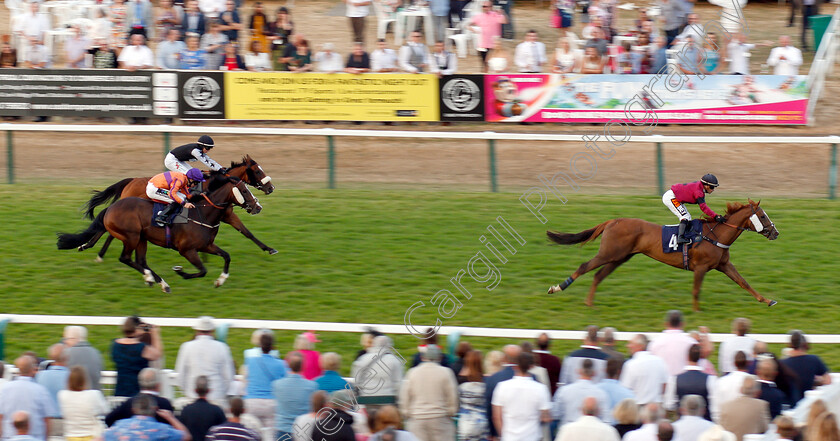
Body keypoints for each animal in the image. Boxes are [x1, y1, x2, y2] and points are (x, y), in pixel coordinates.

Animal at [57, 174, 260, 292]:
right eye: (244, 190)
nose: (258, 207)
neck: (202, 213)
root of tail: (111, 208)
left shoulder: (206, 245)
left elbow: (226, 256)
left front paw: (220, 280)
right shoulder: (186, 250)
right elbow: (202, 270)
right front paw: (180, 272)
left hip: (141, 238)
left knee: (140, 261)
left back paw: (158, 281)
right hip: (132, 236)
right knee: (125, 258)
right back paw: (154, 279)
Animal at [80, 155, 276, 260]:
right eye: (257, 171)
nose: (270, 187)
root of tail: (131, 180)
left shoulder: (226, 215)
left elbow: (246, 232)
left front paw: (269, 249)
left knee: (110, 230)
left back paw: (95, 250)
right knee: (107, 228)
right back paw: (89, 247)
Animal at [548, 199, 776, 310]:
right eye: (763, 216)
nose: (776, 233)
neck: (716, 234)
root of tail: (613, 220)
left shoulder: (724, 265)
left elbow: (744, 282)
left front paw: (767, 300)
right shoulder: (701, 268)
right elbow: (696, 290)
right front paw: (696, 312)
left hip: (620, 257)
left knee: (598, 275)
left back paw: (589, 303)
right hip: (609, 253)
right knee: (584, 267)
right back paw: (556, 288)